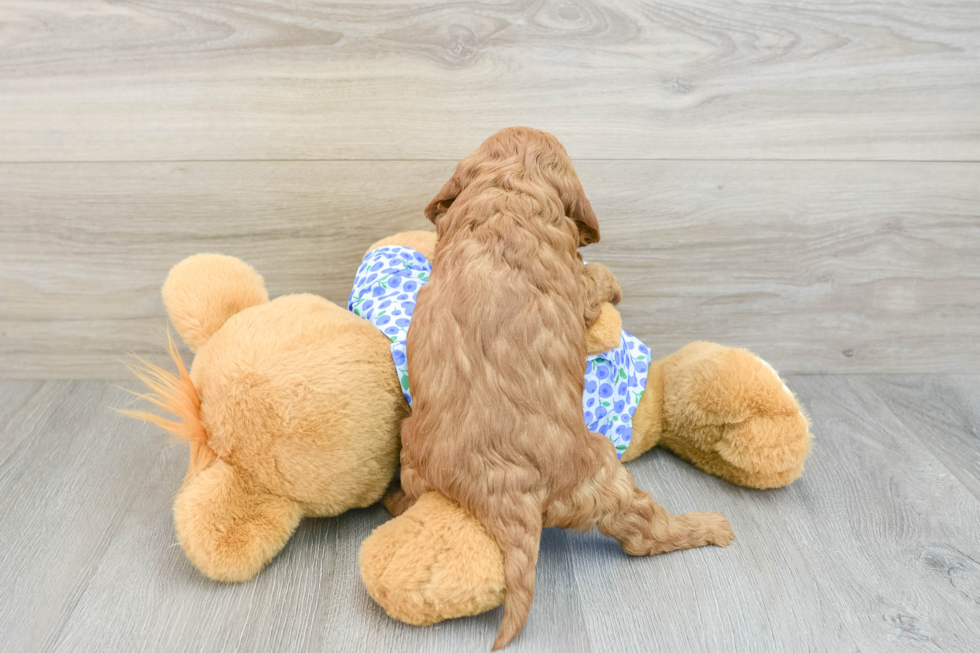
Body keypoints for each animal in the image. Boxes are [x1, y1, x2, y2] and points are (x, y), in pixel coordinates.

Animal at [400, 127, 736, 648]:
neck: (509, 193)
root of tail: (502, 485)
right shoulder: (577, 285)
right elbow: (595, 274)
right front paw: (612, 282)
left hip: (413, 452)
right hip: (604, 476)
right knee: (642, 532)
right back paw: (708, 526)